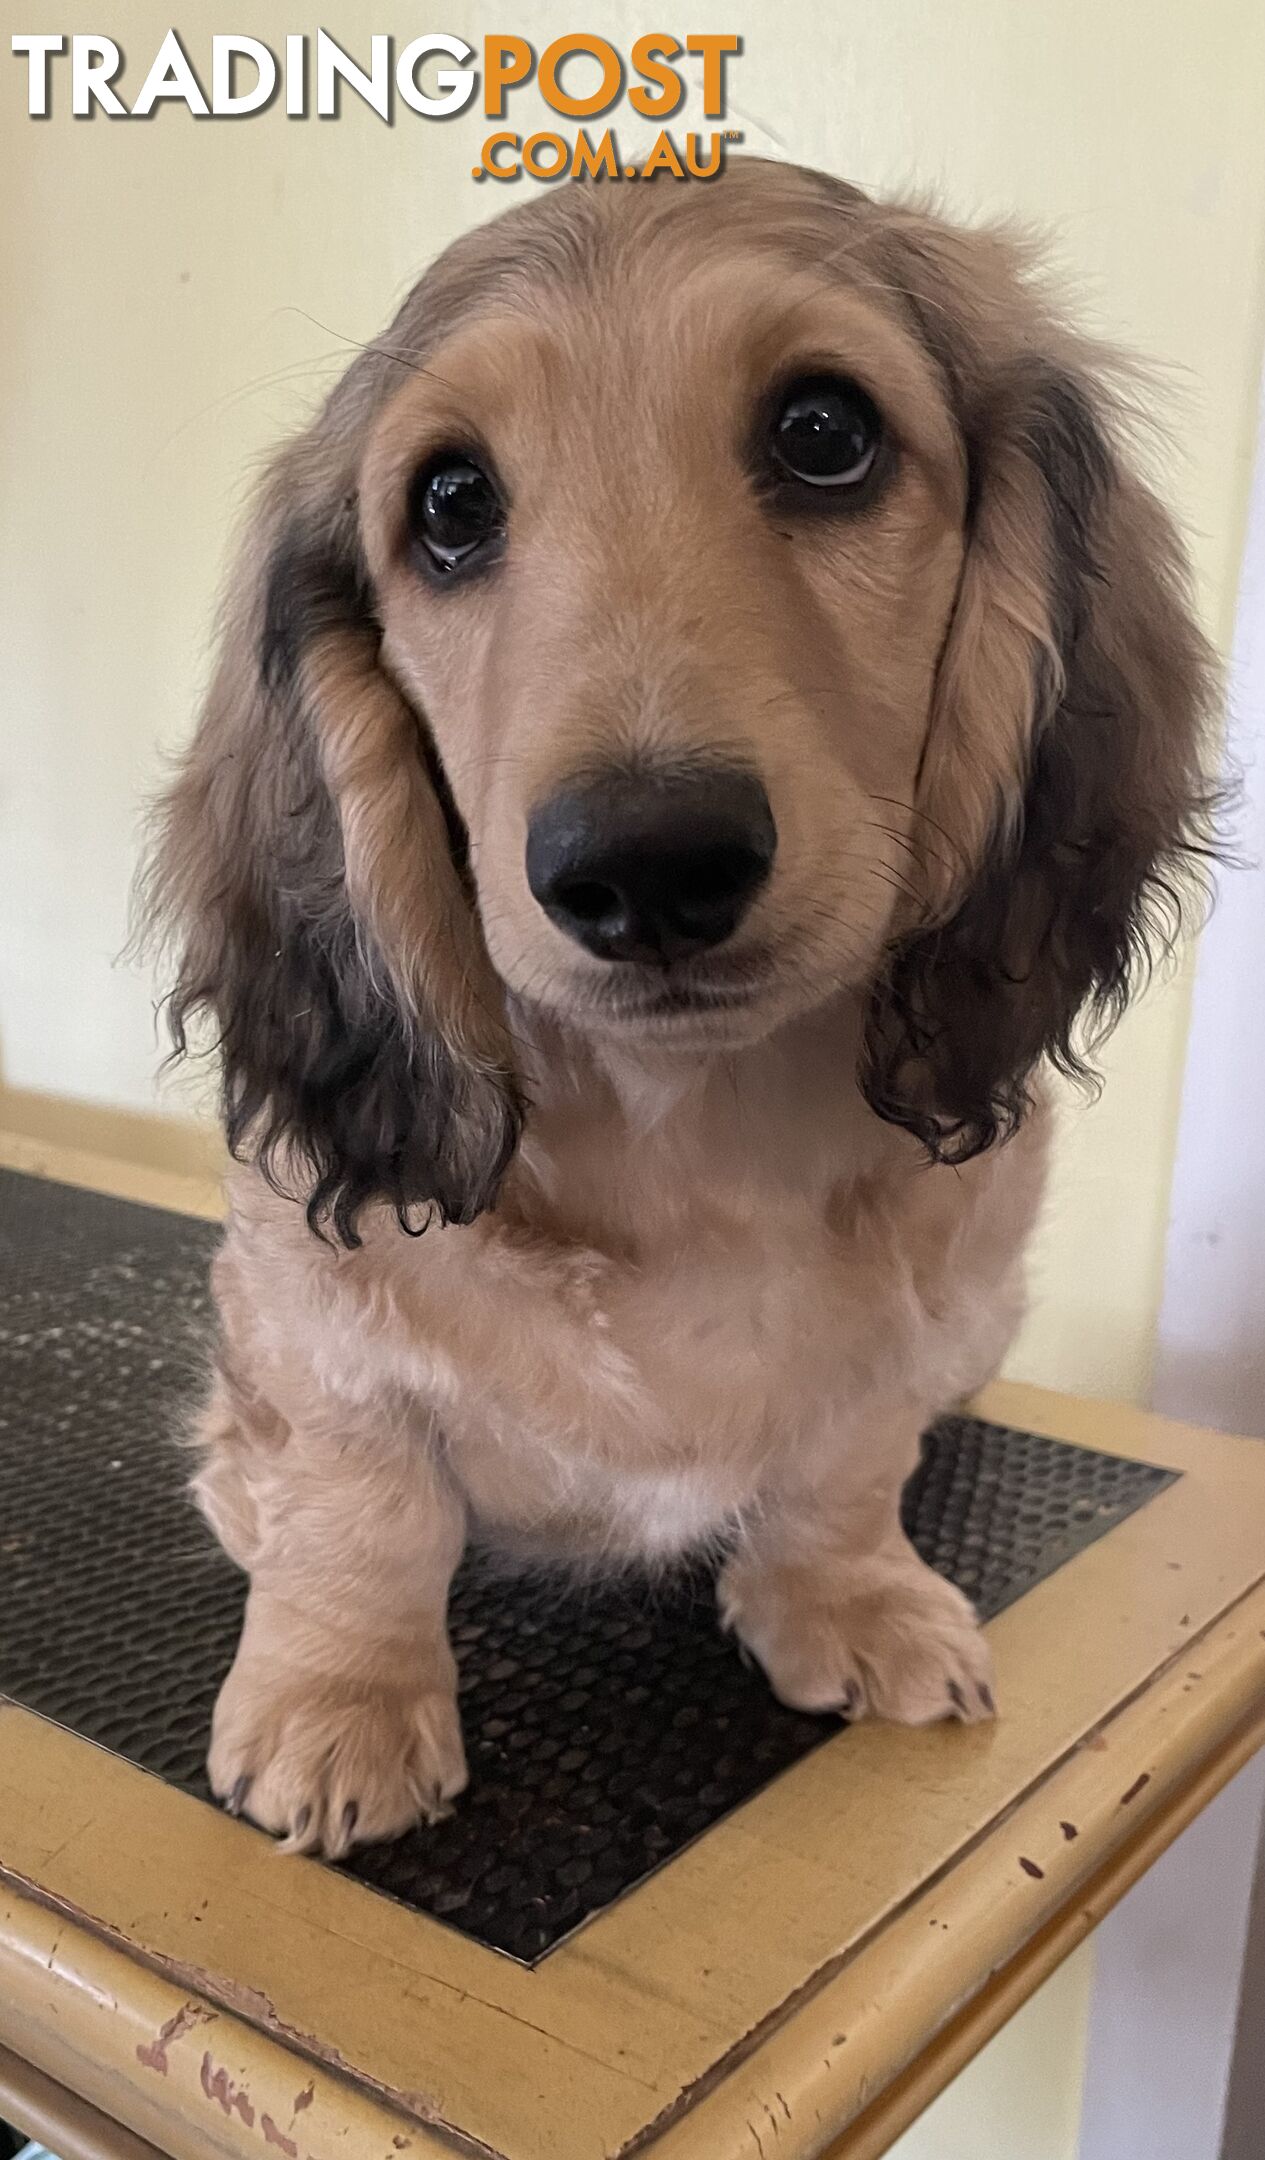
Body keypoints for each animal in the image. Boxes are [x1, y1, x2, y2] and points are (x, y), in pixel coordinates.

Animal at [147, 164, 1208, 1857]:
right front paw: (338, 1702)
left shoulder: (924, 1319)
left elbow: (850, 1451)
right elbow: (360, 1501)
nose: (645, 866)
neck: (686, 1137)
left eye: (826, 431)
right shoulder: (302, 1319)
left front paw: (849, 1598)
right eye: (449, 504)